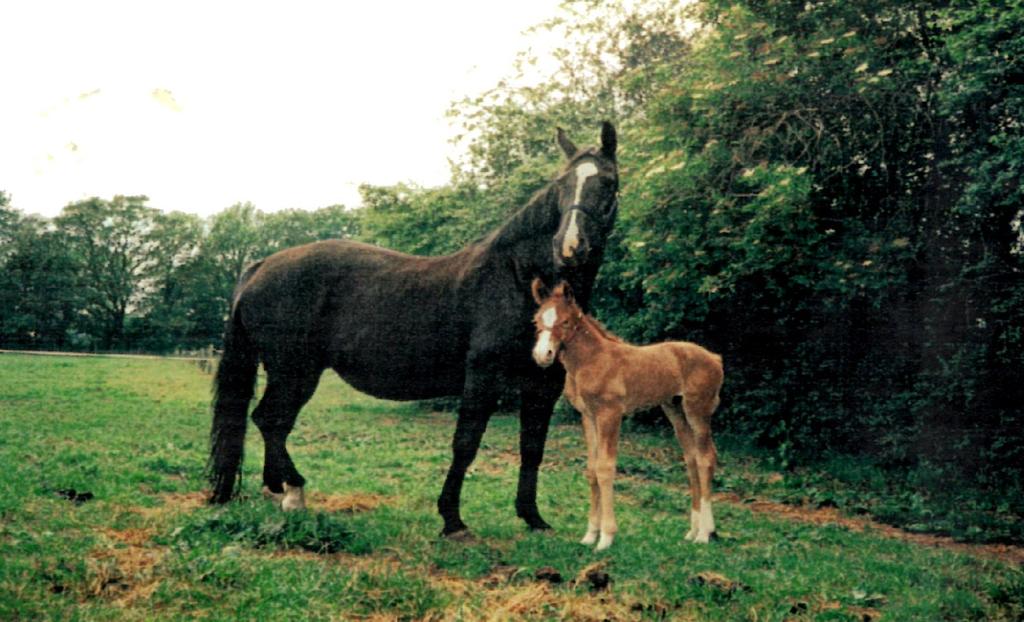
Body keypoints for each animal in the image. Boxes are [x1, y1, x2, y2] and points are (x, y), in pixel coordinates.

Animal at [532, 280, 724, 553]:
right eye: (537, 321)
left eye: (566, 321)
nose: (543, 355)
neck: (592, 360)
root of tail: (715, 358)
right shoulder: (588, 416)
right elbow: (592, 469)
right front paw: (590, 535)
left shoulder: (610, 414)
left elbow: (605, 468)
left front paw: (606, 537)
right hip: (675, 410)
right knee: (692, 459)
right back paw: (693, 531)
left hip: (697, 410)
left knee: (707, 458)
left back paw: (705, 534)